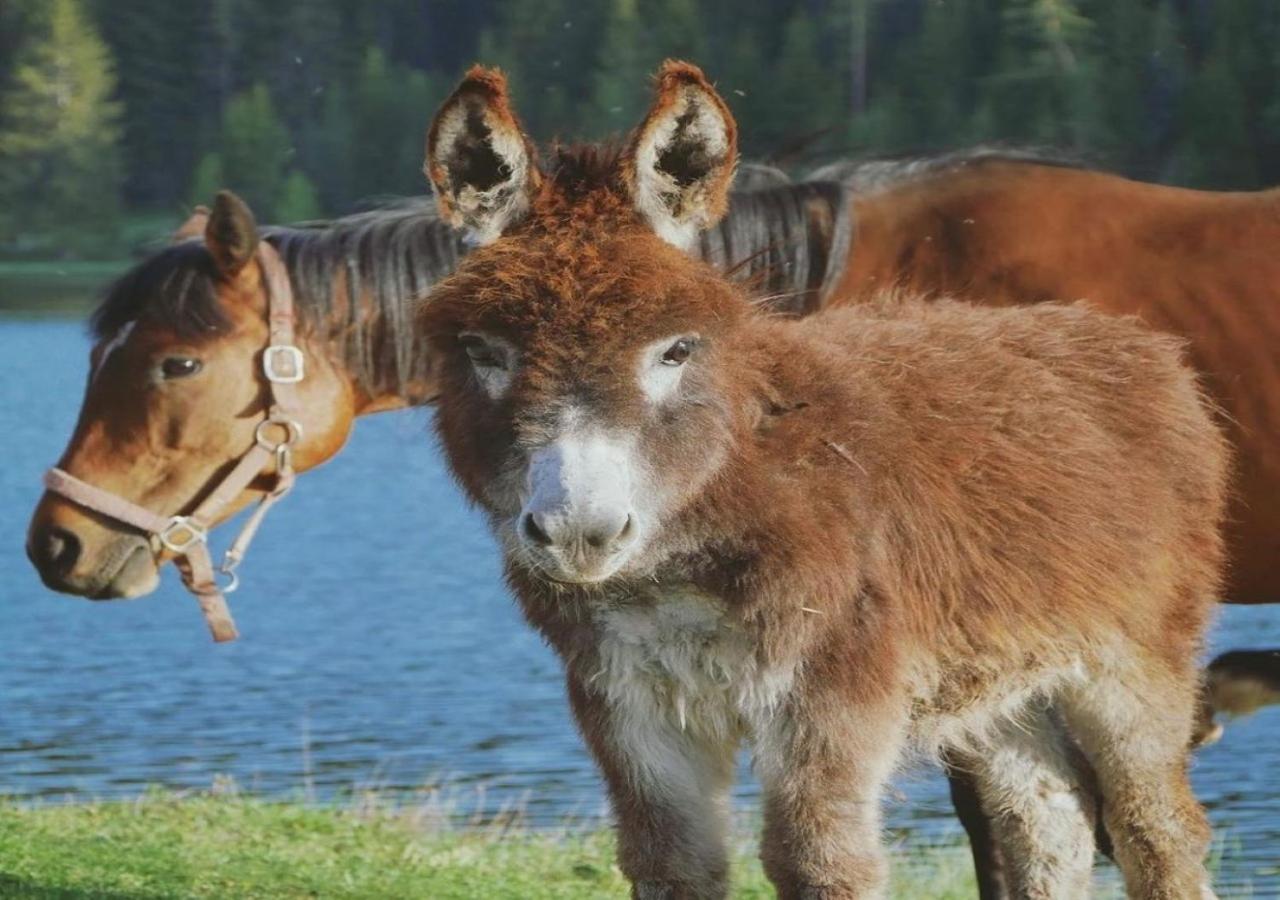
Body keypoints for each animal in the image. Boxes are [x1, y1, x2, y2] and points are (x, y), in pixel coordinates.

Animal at [414, 61, 1223, 900]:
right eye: (484, 352)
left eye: (676, 350)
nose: (580, 529)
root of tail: (1132, 340)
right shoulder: (627, 702)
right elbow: (672, 864)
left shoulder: (833, 689)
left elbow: (819, 862)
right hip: (1002, 675)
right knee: (1048, 814)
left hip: (1136, 655)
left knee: (1155, 826)